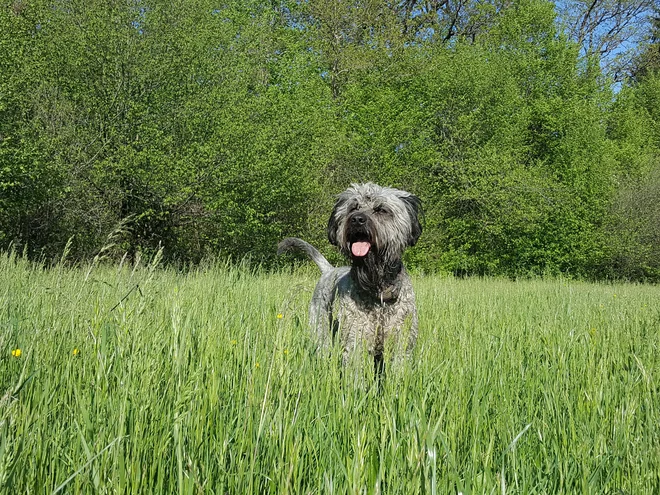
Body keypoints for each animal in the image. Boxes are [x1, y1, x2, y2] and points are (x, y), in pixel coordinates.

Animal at [278, 183, 422, 376]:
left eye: (381, 209)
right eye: (353, 207)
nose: (357, 219)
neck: (378, 291)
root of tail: (329, 270)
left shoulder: (401, 346)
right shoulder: (355, 344)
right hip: (321, 332)